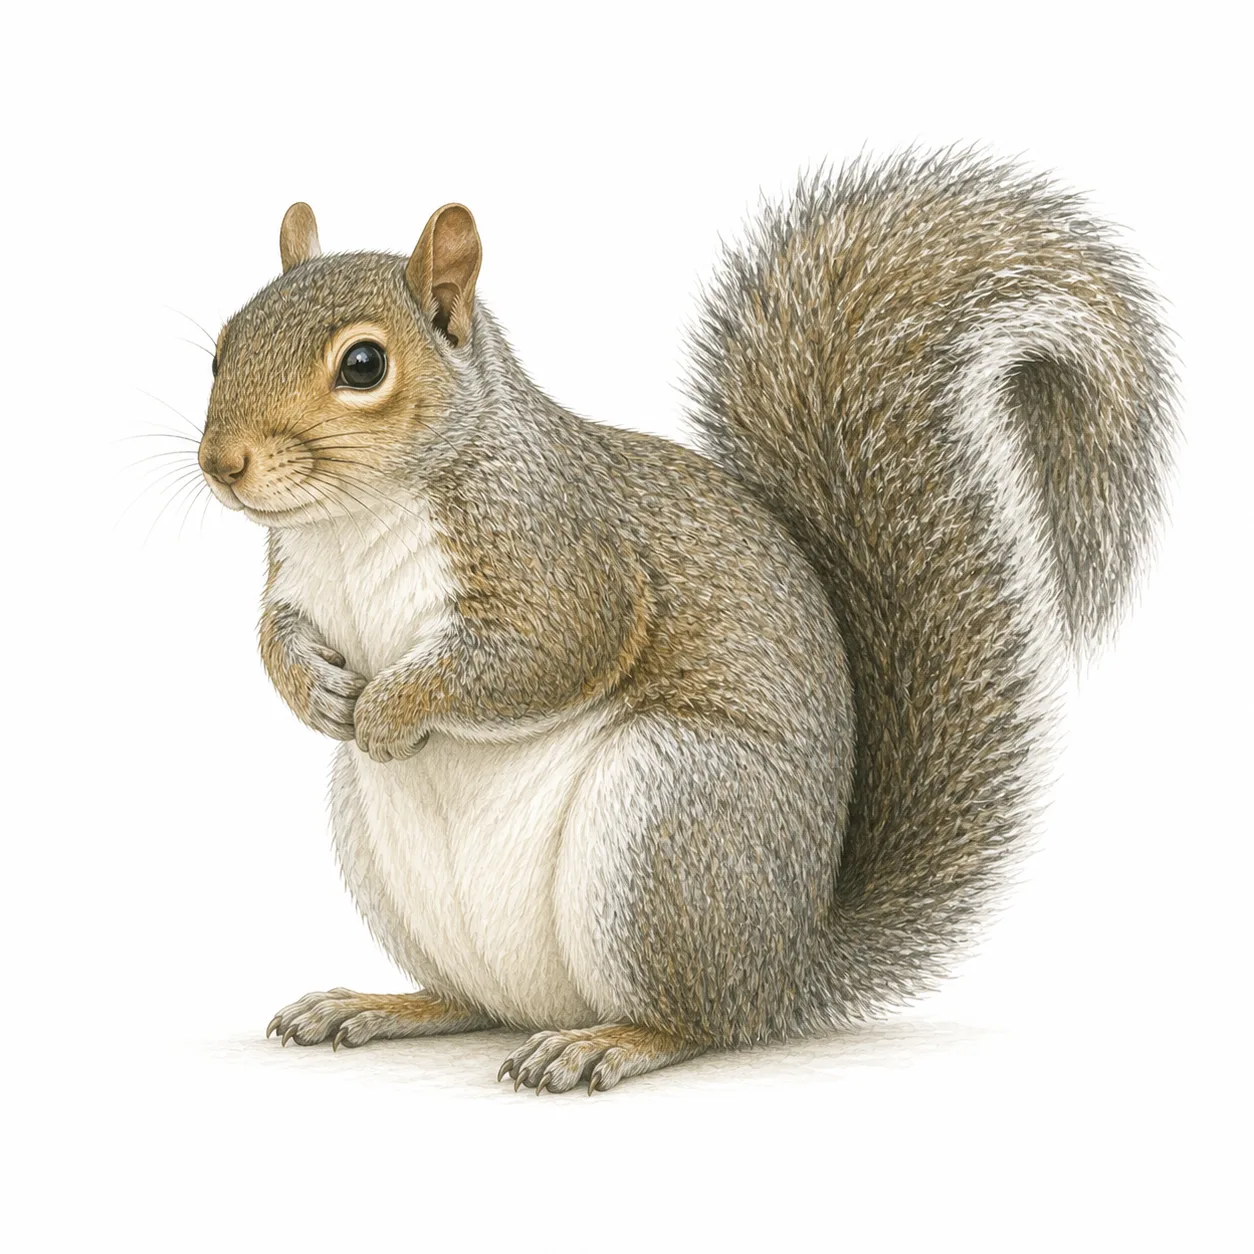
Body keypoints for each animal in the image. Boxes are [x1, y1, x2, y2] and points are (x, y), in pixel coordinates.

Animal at [198, 150, 1175, 1094]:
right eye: (221, 347)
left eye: (364, 365)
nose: (220, 464)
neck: (352, 519)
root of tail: (784, 967)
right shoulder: (298, 580)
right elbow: (272, 638)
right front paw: (316, 694)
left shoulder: (564, 558)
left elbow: (544, 653)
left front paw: (387, 710)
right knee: (472, 1000)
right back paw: (381, 1005)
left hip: (671, 822)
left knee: (693, 1021)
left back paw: (605, 1044)